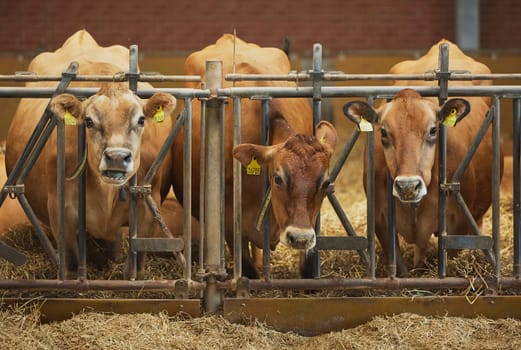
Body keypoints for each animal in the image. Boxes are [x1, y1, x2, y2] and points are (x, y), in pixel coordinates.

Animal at [4, 29, 177, 278]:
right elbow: (73, 263)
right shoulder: (60, 214)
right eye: (88, 121)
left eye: (141, 119)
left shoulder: (147, 210)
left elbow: (134, 265)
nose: (117, 157)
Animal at [171, 34, 338, 278]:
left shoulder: (310, 221)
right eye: (278, 178)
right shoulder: (230, 224)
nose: (299, 238)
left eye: (326, 182)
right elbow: (247, 269)